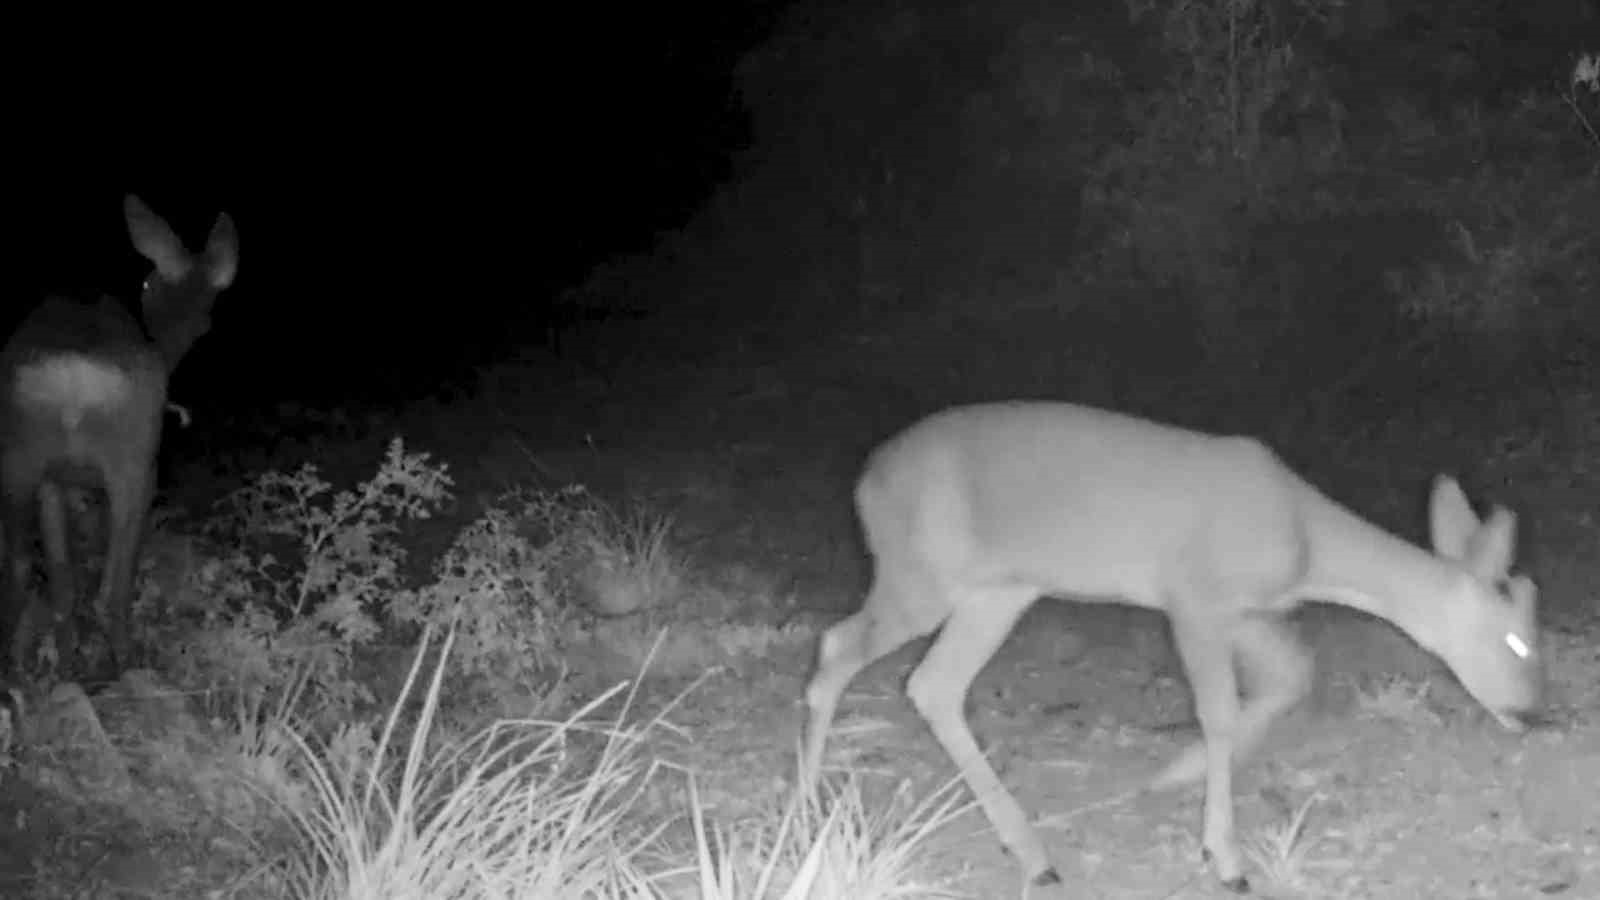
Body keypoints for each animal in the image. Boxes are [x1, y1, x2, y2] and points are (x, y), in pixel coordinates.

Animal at [0, 192, 236, 675]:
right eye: (147, 283)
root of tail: (72, 379)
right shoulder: (141, 469)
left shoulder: (55, 481)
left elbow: (62, 587)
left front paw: (65, 668)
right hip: (131, 462)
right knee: (112, 593)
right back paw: (127, 669)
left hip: (18, 456)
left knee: (16, 573)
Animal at [806, 400, 1542, 890]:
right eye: (1516, 640)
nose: (1533, 713)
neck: (1307, 540)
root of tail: (866, 480)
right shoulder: (1194, 596)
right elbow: (1218, 712)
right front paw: (1227, 859)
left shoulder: (1246, 611)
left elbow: (1291, 676)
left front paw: (1175, 775)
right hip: (923, 573)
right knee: (838, 648)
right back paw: (811, 806)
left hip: (998, 590)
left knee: (931, 684)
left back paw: (1035, 857)